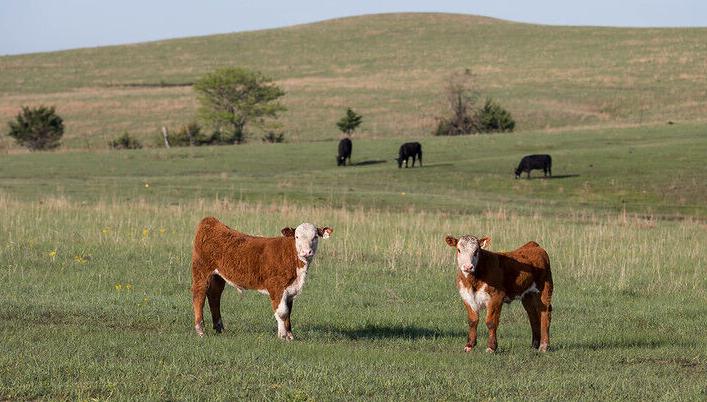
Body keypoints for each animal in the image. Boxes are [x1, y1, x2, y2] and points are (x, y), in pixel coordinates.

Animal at [191, 217, 333, 340]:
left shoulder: (290, 290)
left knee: (214, 296)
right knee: (199, 295)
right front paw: (282, 336)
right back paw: (200, 330)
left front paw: (290, 336)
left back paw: (219, 328)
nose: (306, 252)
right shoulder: (276, 286)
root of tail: (211, 222)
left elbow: (289, 312)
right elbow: (282, 312)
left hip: (218, 276)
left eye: (315, 237)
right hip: (201, 270)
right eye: (297, 237)